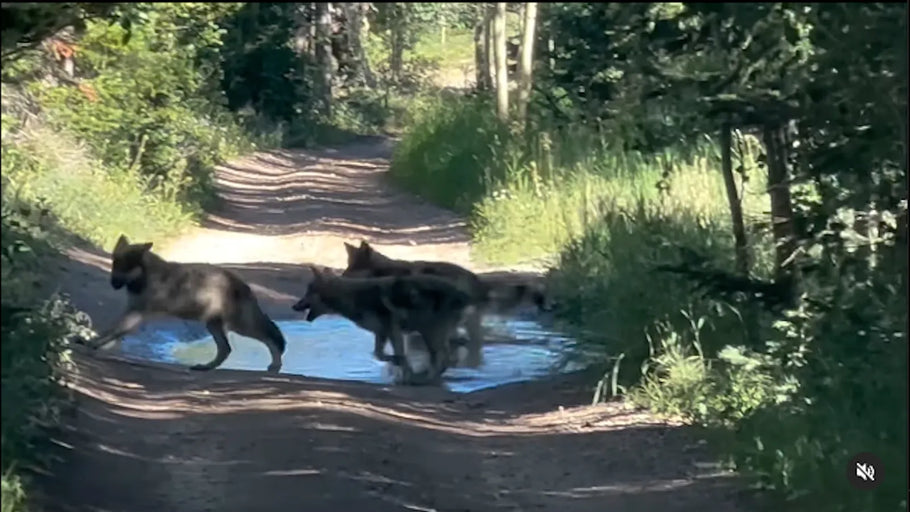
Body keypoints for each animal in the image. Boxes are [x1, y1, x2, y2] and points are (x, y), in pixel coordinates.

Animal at [83, 235, 288, 372]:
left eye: (125, 267)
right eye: (115, 264)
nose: (113, 284)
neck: (145, 276)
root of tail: (243, 285)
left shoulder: (138, 313)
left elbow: (116, 330)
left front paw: (93, 343)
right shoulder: (132, 311)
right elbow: (112, 330)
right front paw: (96, 342)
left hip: (241, 326)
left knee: (272, 338)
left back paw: (275, 365)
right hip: (214, 325)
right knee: (226, 349)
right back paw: (205, 367)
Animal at [292, 268, 478, 384]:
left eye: (308, 293)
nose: (293, 306)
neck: (352, 297)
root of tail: (463, 294)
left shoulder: (393, 331)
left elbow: (397, 356)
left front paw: (404, 374)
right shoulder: (382, 333)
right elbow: (379, 354)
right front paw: (401, 370)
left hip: (430, 334)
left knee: (443, 358)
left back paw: (424, 379)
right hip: (432, 335)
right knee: (444, 359)